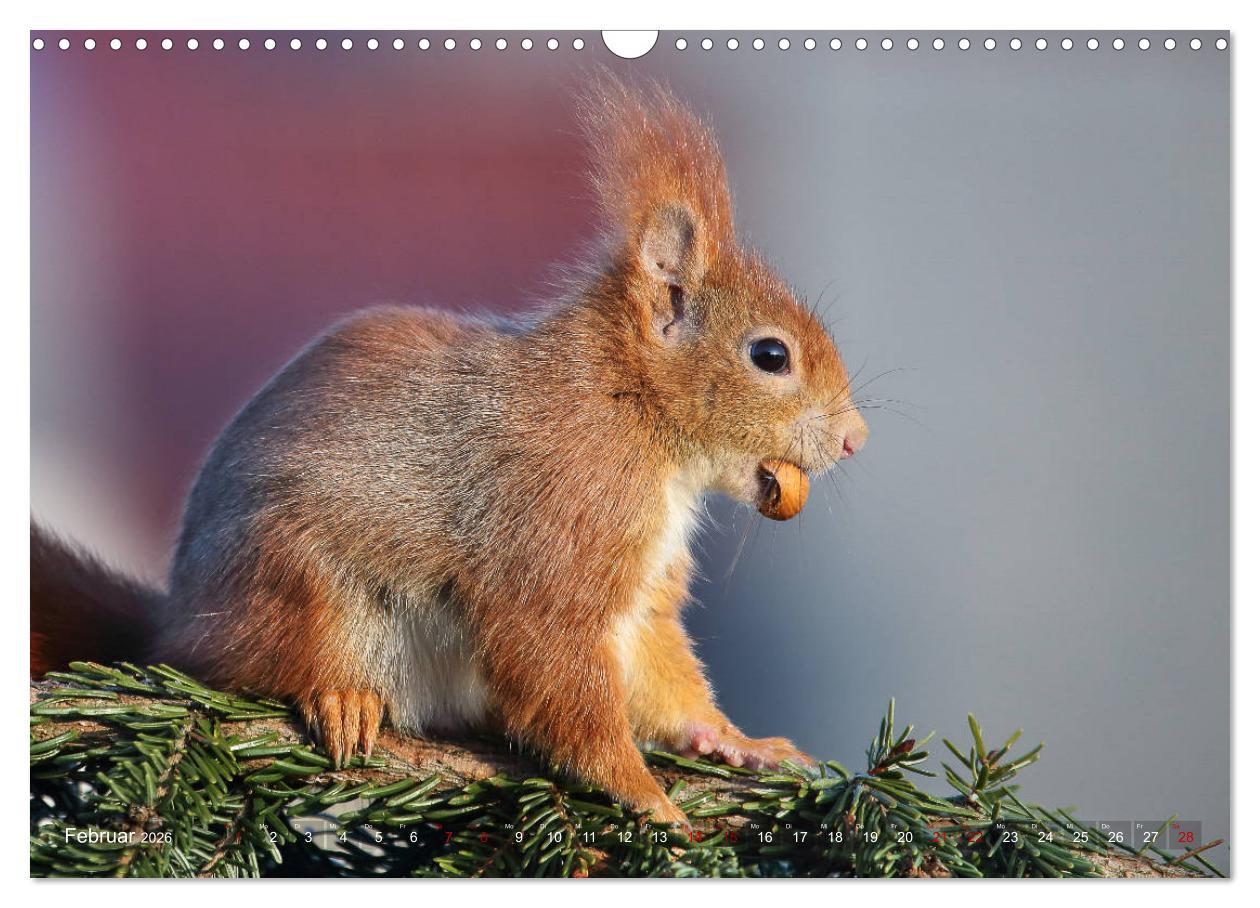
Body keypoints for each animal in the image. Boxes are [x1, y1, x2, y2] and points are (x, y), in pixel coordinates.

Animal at [30, 77, 869, 827]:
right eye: (770, 355)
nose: (856, 439)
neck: (632, 415)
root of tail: (177, 619)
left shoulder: (642, 592)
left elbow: (659, 673)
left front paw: (736, 741)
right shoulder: (557, 527)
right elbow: (558, 662)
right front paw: (645, 793)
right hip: (299, 587)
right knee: (258, 670)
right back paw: (341, 698)